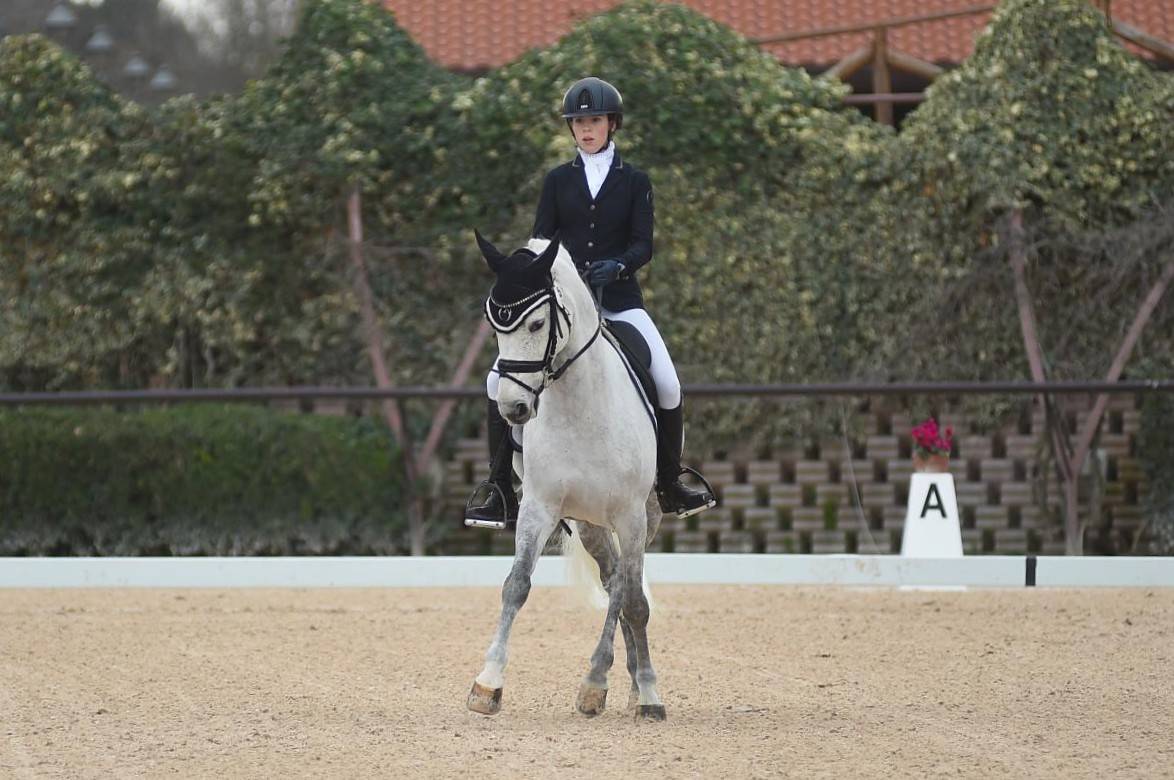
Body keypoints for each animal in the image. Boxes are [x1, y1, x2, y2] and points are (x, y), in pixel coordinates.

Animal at [466, 231, 667, 721]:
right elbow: (516, 585)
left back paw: (627, 684)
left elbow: (633, 599)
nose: (514, 408)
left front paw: (638, 693)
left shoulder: (631, 516)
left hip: (644, 518)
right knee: (614, 580)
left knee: (628, 590)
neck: (581, 409)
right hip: (588, 523)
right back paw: (619, 680)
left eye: (537, 324)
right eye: (496, 328)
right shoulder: (539, 507)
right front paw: (487, 685)